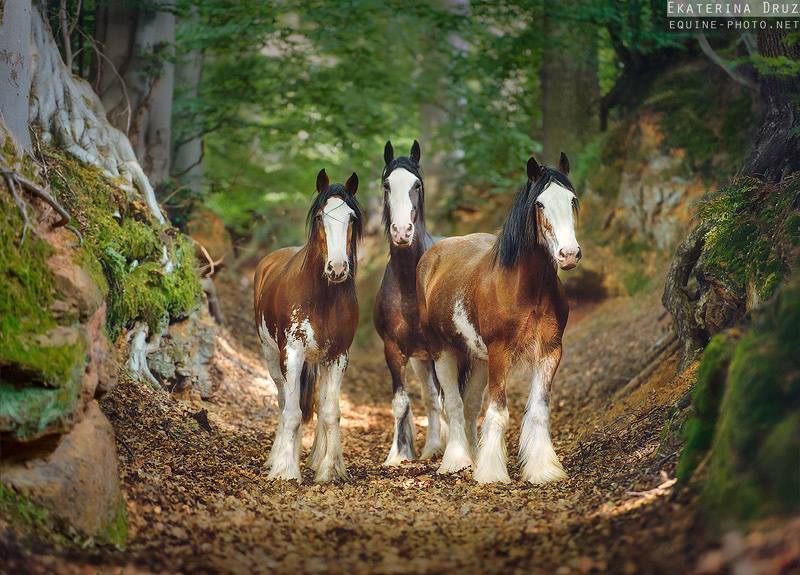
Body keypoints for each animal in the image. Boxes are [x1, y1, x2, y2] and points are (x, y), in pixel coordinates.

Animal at [253, 169, 362, 484]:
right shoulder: (292, 354)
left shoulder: (338, 356)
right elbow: (291, 412)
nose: (337, 269)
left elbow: (330, 411)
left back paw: (314, 459)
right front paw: (285, 470)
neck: (322, 297)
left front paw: (330, 469)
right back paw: (277, 457)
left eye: (352, 218)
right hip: (271, 357)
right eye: (320, 217)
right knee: (284, 402)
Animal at [418, 153, 580, 482]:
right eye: (540, 204)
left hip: (479, 358)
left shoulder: (550, 350)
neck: (526, 288)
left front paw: (543, 469)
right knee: (453, 404)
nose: (569, 254)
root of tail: (434, 254)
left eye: (572, 199)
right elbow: (498, 411)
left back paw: (473, 457)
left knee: (468, 406)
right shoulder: (500, 352)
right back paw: (456, 461)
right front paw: (492, 474)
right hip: (444, 352)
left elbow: (538, 410)